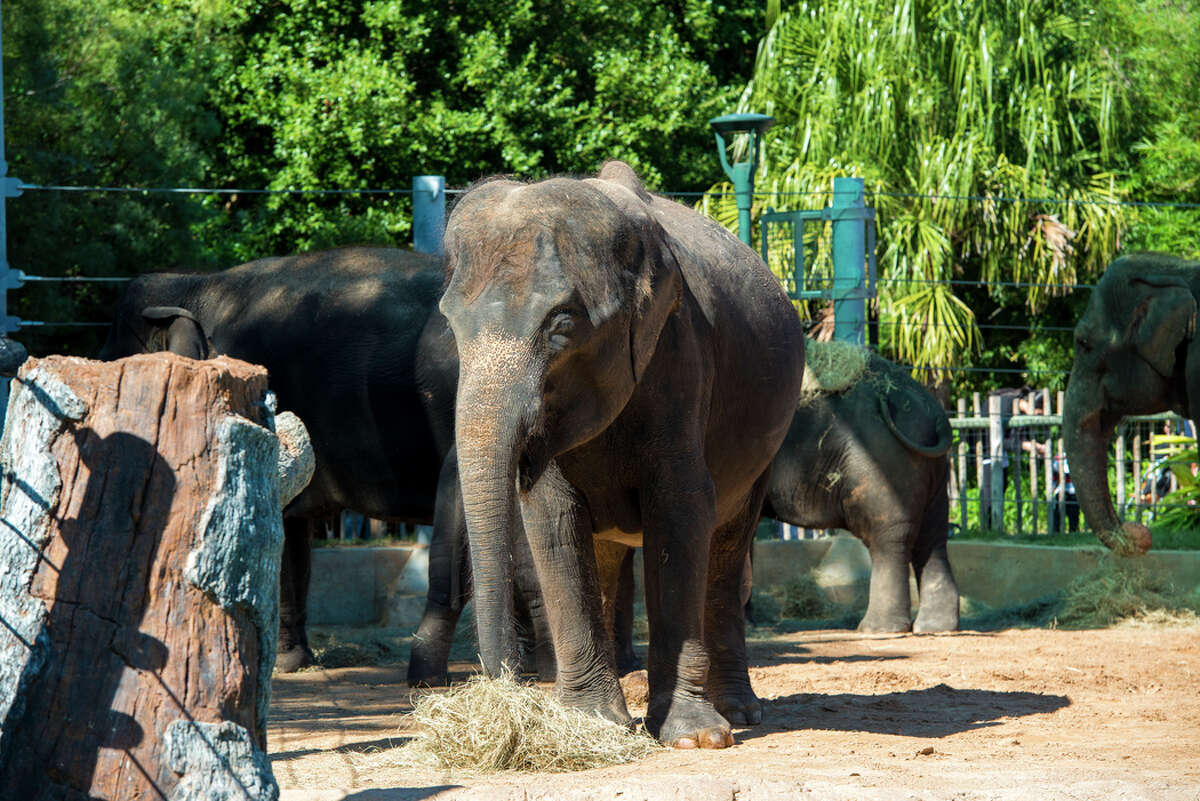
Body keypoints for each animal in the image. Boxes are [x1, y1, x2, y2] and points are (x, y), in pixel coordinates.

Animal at [441, 159, 806, 748]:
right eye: (450, 325)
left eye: (562, 324)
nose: (503, 693)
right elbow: (552, 518)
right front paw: (592, 723)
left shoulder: (680, 356)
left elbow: (683, 512)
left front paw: (694, 738)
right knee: (608, 555)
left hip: (767, 441)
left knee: (728, 549)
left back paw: (740, 715)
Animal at [763, 338, 960, 633]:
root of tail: (934, 411)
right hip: (932, 467)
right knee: (932, 536)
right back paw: (936, 628)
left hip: (881, 459)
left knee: (888, 537)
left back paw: (877, 630)